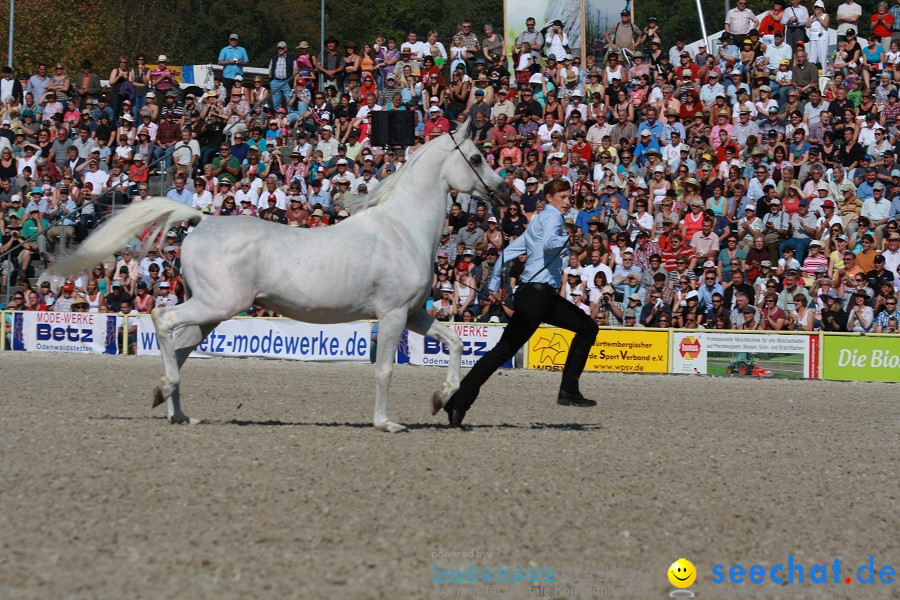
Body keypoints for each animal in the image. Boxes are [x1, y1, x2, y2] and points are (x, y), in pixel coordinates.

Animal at [56, 122, 510, 432]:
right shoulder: (394, 315)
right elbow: (384, 370)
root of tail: (202, 221)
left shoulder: (414, 313)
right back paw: (166, 390)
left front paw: (440, 398)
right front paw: (387, 423)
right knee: (163, 322)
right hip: (217, 305)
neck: (403, 228)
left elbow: (455, 342)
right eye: (477, 158)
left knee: (180, 348)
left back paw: (178, 412)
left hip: (211, 314)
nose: (507, 193)